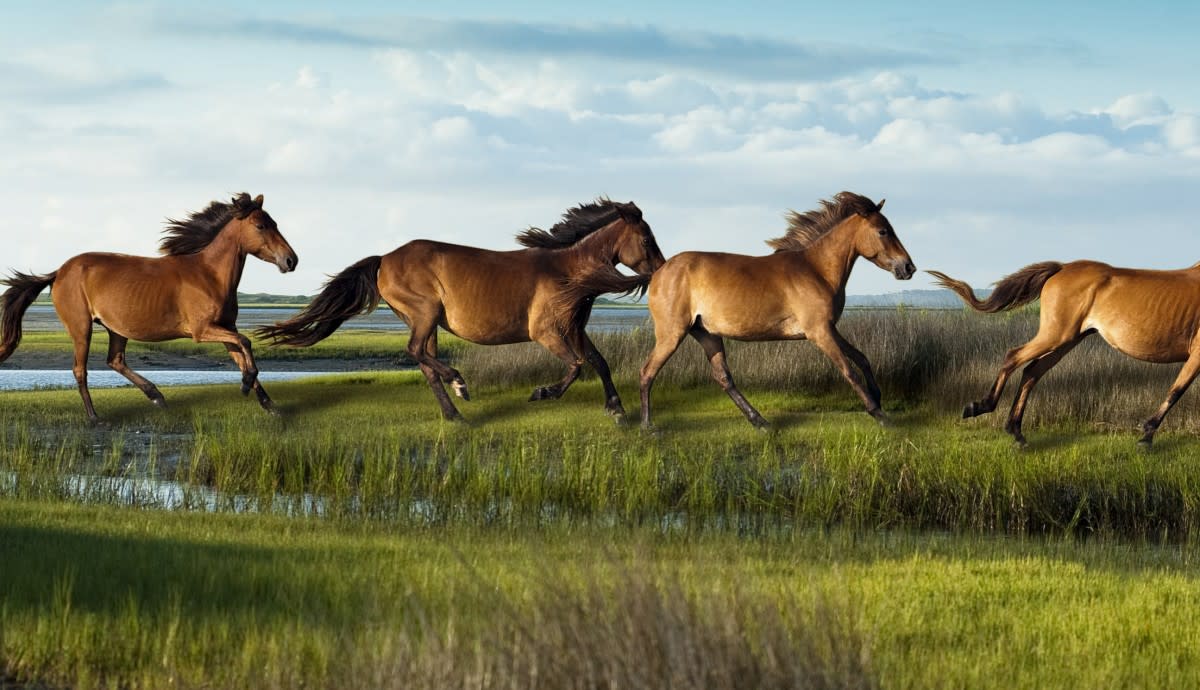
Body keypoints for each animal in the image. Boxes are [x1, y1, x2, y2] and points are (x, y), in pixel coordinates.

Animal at [0, 193, 298, 423]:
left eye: (274, 223)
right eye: (260, 225)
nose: (291, 260)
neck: (209, 275)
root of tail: (59, 272)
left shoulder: (225, 328)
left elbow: (242, 354)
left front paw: (270, 405)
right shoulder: (203, 330)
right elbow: (246, 343)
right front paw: (246, 386)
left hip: (116, 329)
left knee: (115, 360)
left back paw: (157, 396)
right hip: (81, 327)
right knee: (80, 370)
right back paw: (95, 417)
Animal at [257, 199, 665, 421]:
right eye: (646, 239)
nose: (662, 270)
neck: (566, 271)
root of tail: (384, 258)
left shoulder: (574, 328)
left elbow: (599, 362)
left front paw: (617, 410)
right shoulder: (546, 331)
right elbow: (577, 366)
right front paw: (542, 393)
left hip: (427, 321)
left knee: (425, 363)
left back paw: (456, 414)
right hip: (424, 313)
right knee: (416, 352)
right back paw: (460, 383)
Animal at [639, 192, 915, 429]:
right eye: (883, 231)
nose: (908, 267)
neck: (816, 270)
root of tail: (659, 272)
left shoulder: (829, 329)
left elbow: (861, 358)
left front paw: (877, 397)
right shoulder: (819, 332)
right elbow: (849, 370)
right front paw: (879, 414)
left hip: (707, 334)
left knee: (723, 377)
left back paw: (760, 422)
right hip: (672, 334)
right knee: (647, 372)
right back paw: (647, 426)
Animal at [931, 261, 1200, 447]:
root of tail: (1061, 268)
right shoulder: (1196, 355)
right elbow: (1176, 390)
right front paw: (1146, 436)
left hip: (1066, 341)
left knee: (1031, 371)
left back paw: (1017, 432)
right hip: (1056, 335)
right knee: (1013, 357)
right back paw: (980, 406)